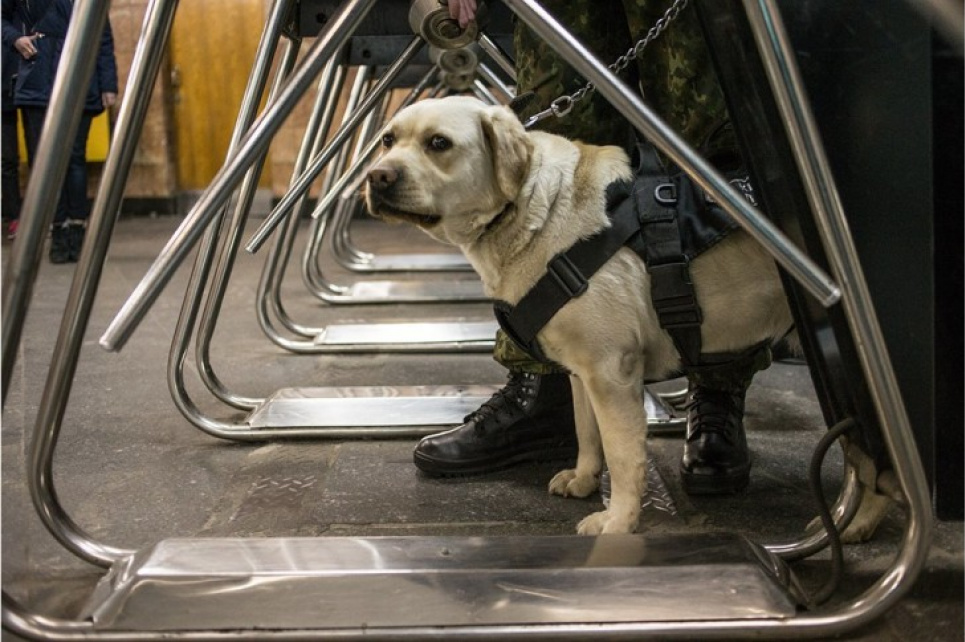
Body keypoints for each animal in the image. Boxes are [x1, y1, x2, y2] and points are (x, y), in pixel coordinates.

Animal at [366, 95, 796, 532]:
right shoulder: (582, 371)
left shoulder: (612, 371)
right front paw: (585, 479)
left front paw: (619, 520)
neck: (533, 210)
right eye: (388, 140)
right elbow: (587, 431)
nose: (376, 177)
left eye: (439, 143)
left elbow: (622, 454)